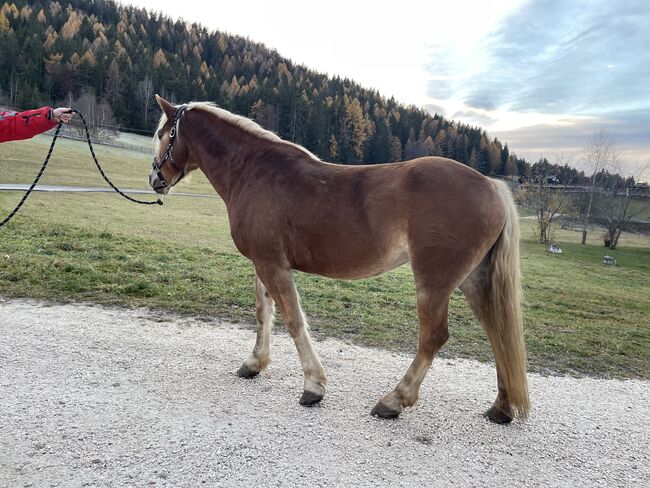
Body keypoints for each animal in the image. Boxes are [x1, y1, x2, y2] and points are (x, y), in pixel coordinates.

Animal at [151, 95, 528, 424]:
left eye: (162, 134)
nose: (155, 178)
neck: (253, 171)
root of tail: (491, 186)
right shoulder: (262, 263)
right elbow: (263, 314)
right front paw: (255, 364)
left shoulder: (273, 265)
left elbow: (293, 320)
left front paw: (312, 386)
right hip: (474, 280)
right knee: (498, 332)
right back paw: (501, 407)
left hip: (434, 283)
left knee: (434, 337)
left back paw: (394, 400)